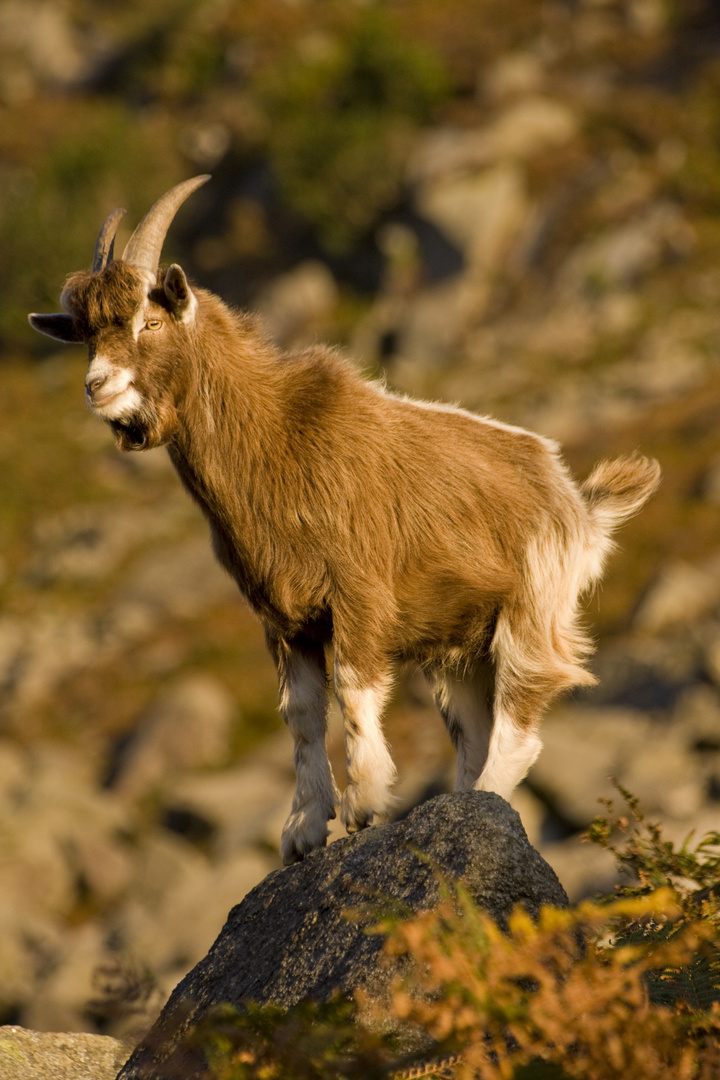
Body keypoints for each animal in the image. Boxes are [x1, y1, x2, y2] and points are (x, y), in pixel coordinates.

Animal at [28, 179, 660, 868]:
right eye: (87, 336)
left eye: (149, 320)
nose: (98, 386)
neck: (276, 439)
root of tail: (576, 500)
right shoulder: (282, 617)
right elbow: (301, 714)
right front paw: (303, 829)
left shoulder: (358, 593)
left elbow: (354, 689)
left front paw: (364, 804)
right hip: (460, 648)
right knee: (473, 730)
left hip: (531, 610)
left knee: (522, 720)